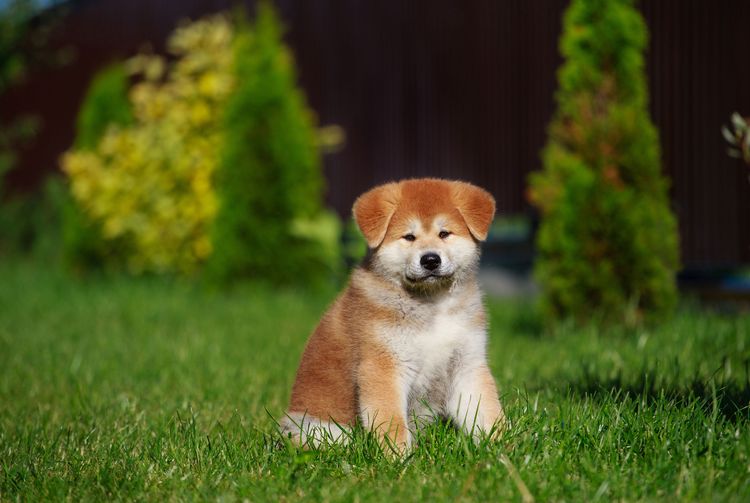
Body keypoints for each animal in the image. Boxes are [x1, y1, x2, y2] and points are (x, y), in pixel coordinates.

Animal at [280, 178, 508, 452]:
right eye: (409, 237)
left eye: (444, 233)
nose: (430, 259)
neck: (431, 306)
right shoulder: (383, 366)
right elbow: (392, 422)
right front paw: (400, 457)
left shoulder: (466, 363)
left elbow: (486, 411)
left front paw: (501, 448)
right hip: (315, 429)